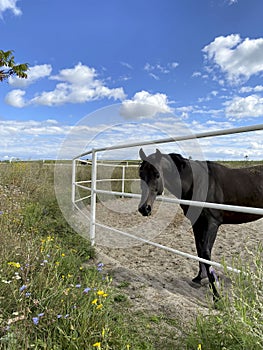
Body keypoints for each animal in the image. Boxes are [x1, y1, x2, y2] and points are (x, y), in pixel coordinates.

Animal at [139, 149, 262, 300]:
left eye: (157, 175)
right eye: (141, 174)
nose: (144, 208)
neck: (198, 183)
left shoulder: (212, 223)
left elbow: (206, 252)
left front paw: (216, 294)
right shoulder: (197, 222)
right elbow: (199, 249)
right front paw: (200, 278)